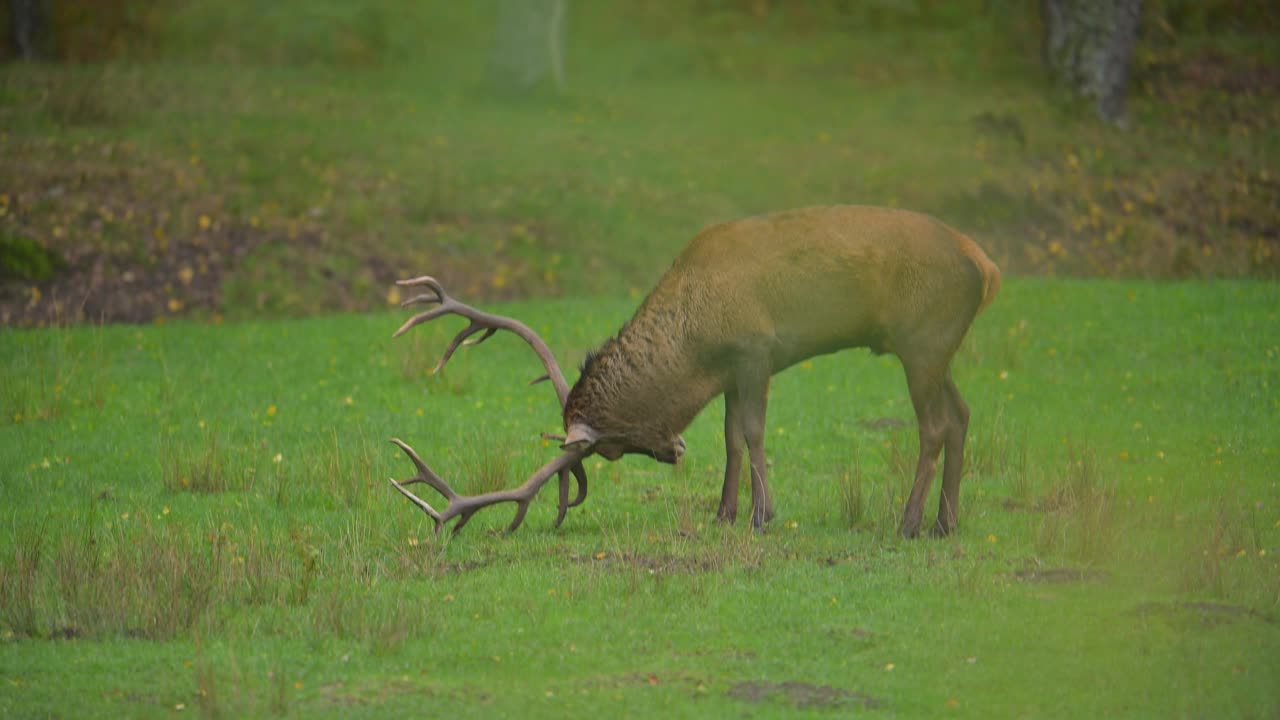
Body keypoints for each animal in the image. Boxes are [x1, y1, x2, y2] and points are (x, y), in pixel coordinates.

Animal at [386, 204, 998, 535]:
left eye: (610, 449)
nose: (674, 451)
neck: (696, 344)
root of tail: (986, 266)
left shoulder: (755, 351)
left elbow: (753, 432)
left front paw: (762, 514)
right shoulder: (730, 372)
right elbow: (730, 436)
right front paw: (725, 512)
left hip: (922, 341)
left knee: (935, 425)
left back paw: (910, 522)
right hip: (937, 349)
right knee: (964, 413)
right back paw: (946, 522)